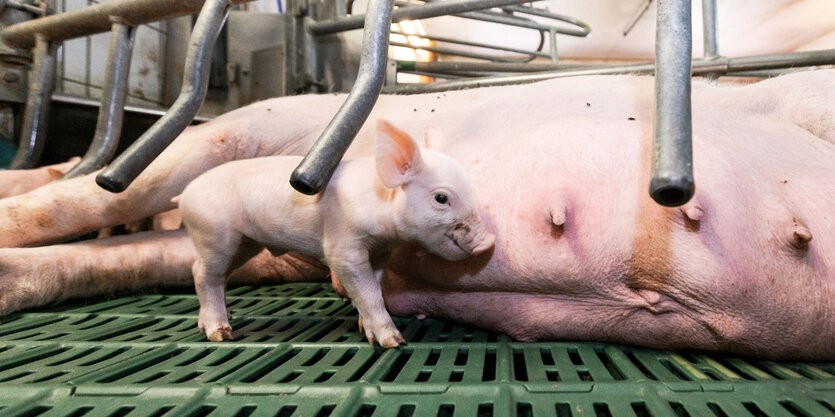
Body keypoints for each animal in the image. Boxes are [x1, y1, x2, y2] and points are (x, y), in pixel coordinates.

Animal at [176, 119, 490, 344]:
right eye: (441, 198)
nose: (489, 241)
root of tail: (185, 193)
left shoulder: (380, 251)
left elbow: (373, 286)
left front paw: (364, 329)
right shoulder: (343, 247)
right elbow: (366, 290)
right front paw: (393, 342)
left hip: (246, 243)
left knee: (217, 274)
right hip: (214, 232)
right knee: (202, 273)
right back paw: (221, 333)